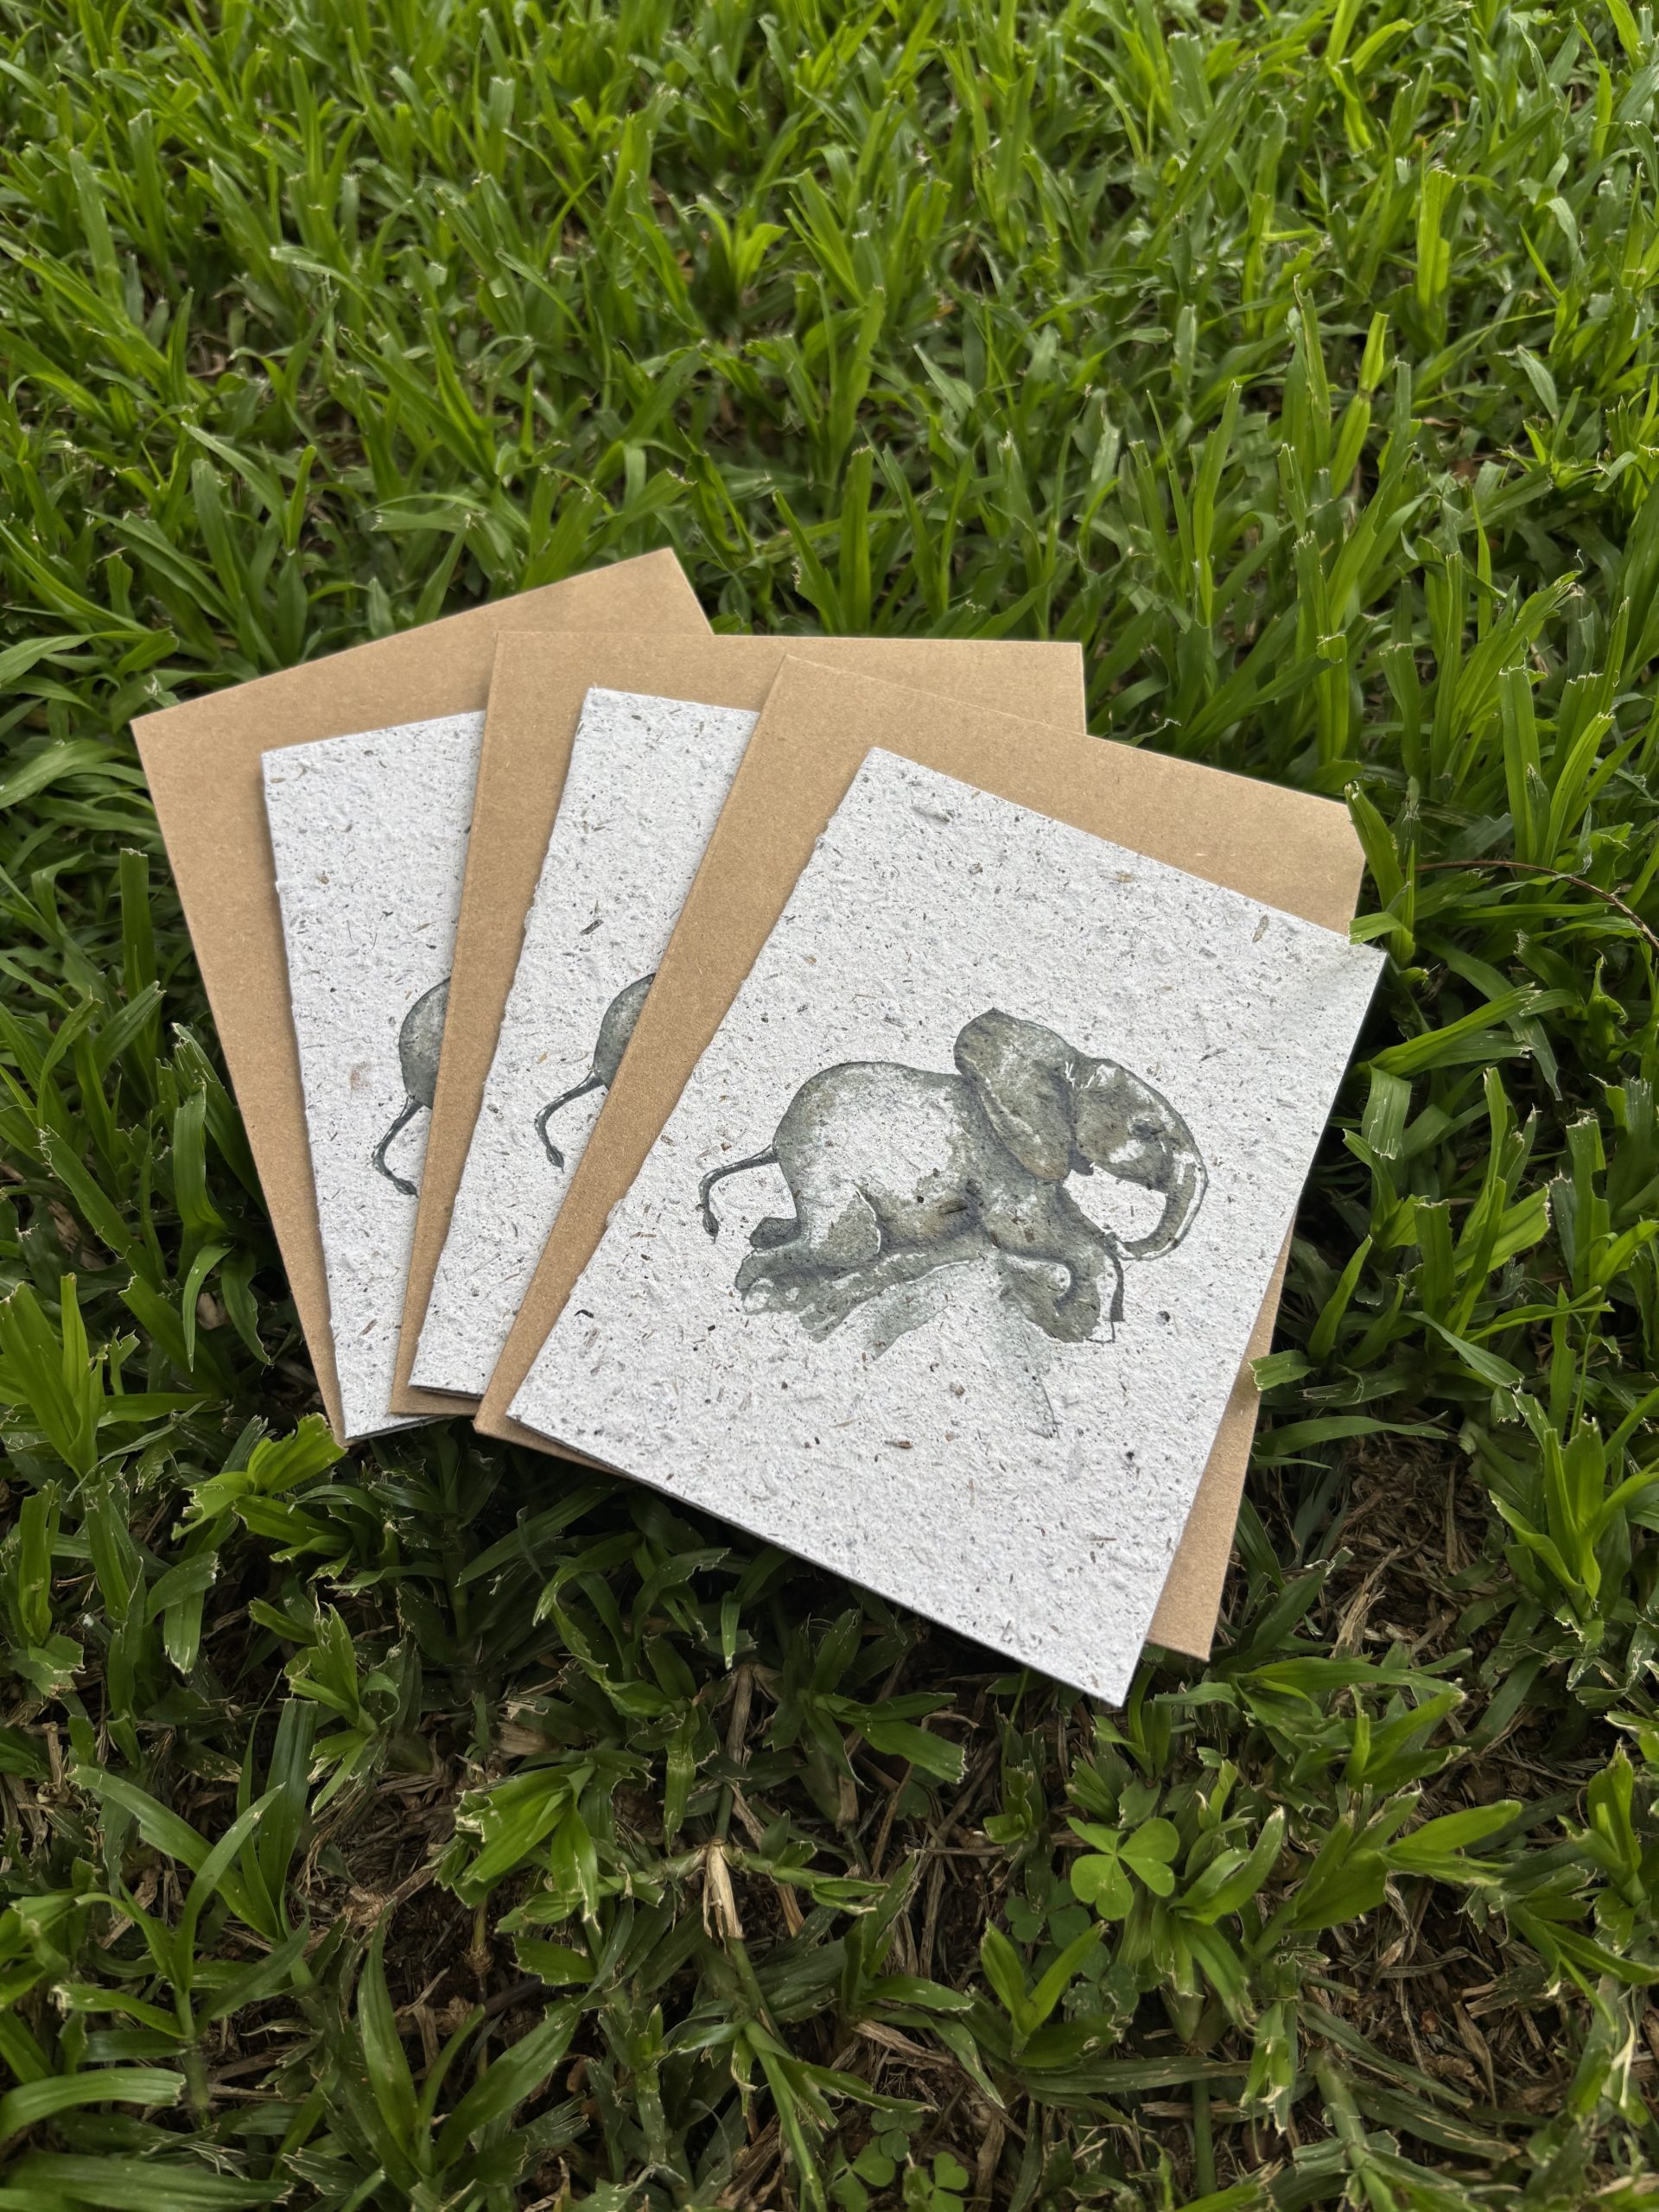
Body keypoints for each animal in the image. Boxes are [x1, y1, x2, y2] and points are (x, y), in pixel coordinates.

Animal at [696, 1008, 1206, 1345]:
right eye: (1145, 1130)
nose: (1122, 1235)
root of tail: (776, 1139)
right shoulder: (998, 1156)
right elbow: (1020, 1231)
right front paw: (1094, 1328)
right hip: (822, 1166)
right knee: (849, 1245)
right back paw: (748, 1278)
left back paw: (766, 1235)